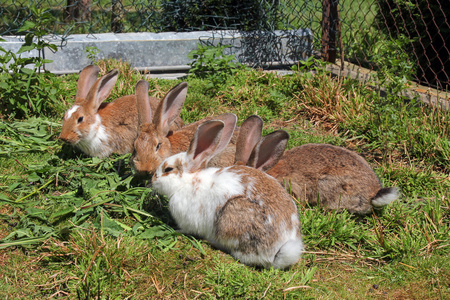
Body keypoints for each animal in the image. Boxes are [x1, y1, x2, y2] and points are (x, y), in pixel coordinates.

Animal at [153, 116, 304, 268]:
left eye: (168, 169)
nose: (153, 179)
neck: (188, 181)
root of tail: (279, 250)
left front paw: (175, 230)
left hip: (231, 219)